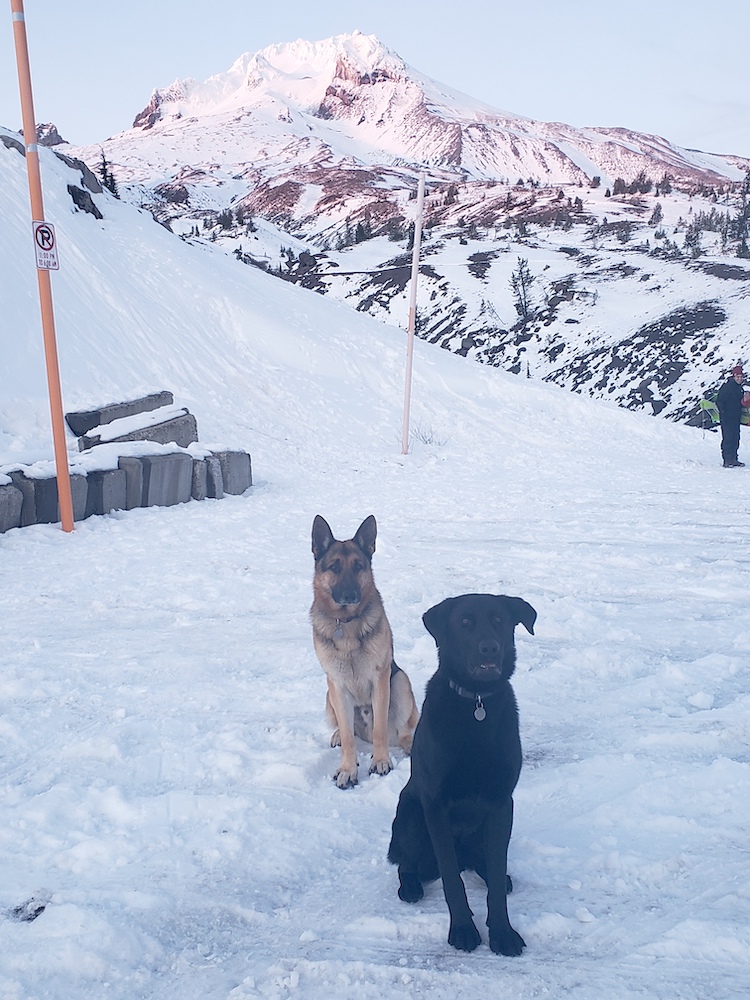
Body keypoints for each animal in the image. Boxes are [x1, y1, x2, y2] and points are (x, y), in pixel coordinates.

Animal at [308, 516, 420, 788]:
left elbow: (380, 729)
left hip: (400, 681)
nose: (349, 595)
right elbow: (349, 738)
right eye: (334, 567)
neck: (345, 624)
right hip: (329, 696)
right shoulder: (336, 684)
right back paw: (338, 734)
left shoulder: (380, 678)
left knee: (401, 731)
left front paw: (380, 762)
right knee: (347, 728)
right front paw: (348, 770)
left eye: (358, 566)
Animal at [388, 592, 540, 952]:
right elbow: (451, 881)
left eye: (498, 620)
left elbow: (496, 878)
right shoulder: (436, 806)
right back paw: (410, 886)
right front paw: (463, 931)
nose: (489, 648)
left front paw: (502, 933)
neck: (476, 702)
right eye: (465, 622)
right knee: (407, 862)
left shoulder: (501, 804)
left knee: (484, 864)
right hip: (411, 816)